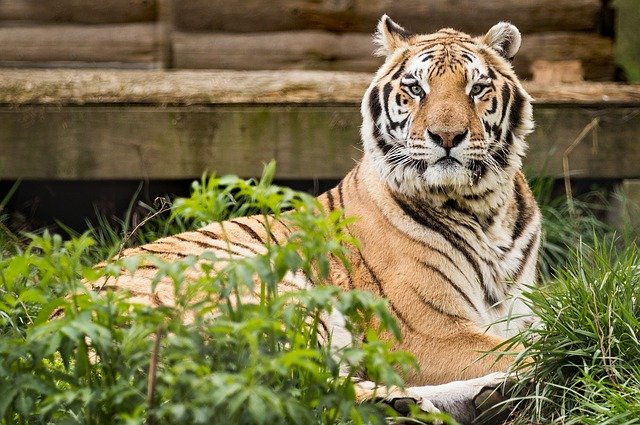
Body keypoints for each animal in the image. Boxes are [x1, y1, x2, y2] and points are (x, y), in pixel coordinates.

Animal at [90, 15, 541, 424]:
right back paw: (411, 405)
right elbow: (524, 350)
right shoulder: (424, 331)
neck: (484, 210)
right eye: (416, 89)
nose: (447, 137)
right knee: (288, 385)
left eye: (476, 88)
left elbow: (534, 337)